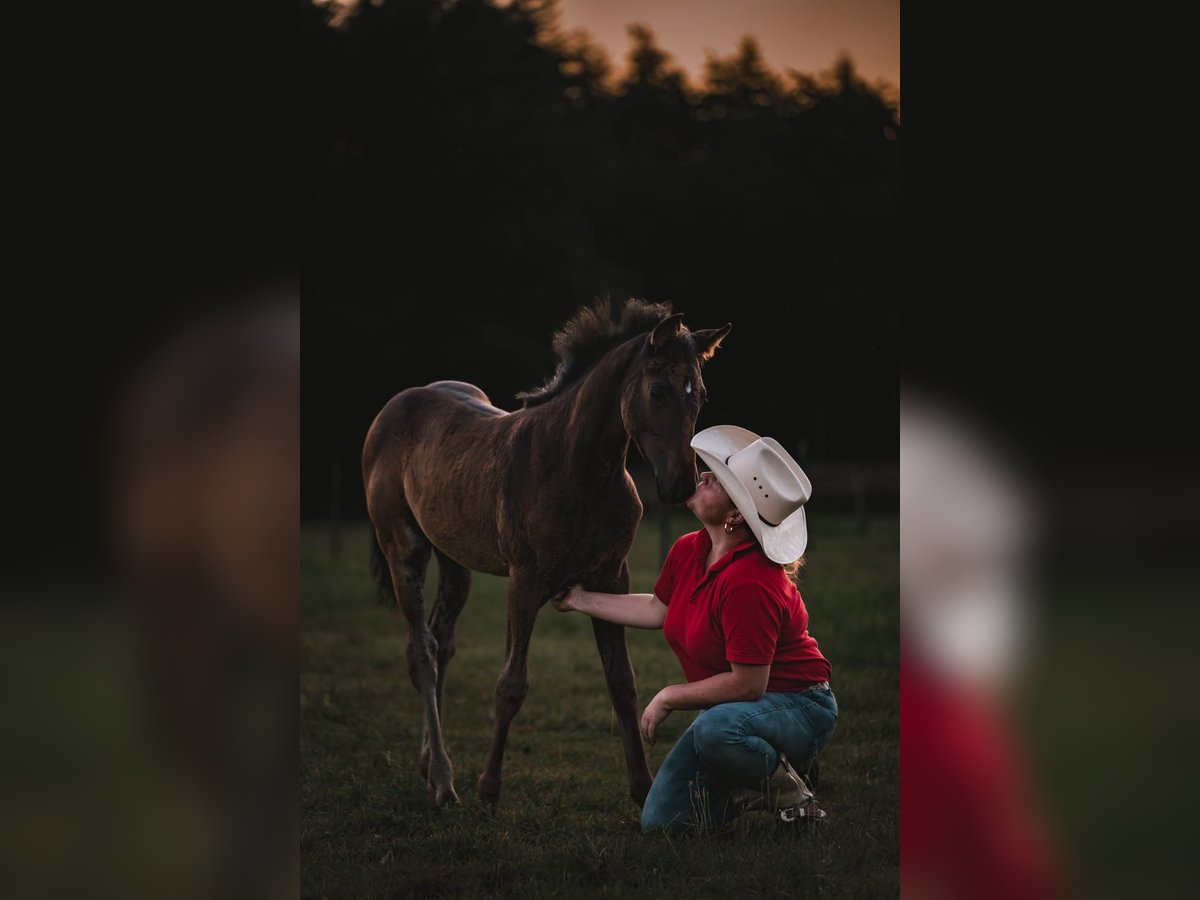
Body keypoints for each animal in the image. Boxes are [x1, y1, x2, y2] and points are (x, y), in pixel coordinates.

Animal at [360, 297, 729, 811]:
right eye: (658, 390)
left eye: (701, 395)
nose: (680, 485)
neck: (580, 468)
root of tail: (398, 404)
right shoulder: (525, 580)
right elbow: (511, 684)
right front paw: (489, 791)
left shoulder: (610, 576)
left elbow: (622, 681)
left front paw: (643, 789)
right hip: (403, 547)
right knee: (421, 651)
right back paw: (445, 784)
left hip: (455, 560)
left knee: (442, 642)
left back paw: (429, 766)